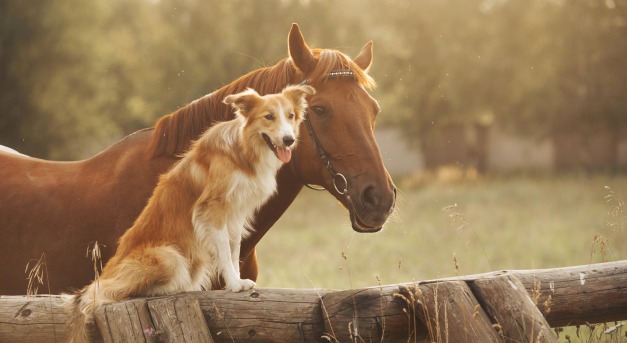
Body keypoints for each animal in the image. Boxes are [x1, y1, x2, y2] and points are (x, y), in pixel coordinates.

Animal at [65, 84, 314, 343]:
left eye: (291, 116)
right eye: (269, 116)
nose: (289, 140)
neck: (243, 151)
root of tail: (107, 272)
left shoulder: (236, 213)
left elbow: (234, 249)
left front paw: (236, 281)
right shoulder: (213, 209)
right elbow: (224, 251)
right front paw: (234, 284)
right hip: (170, 257)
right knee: (103, 293)